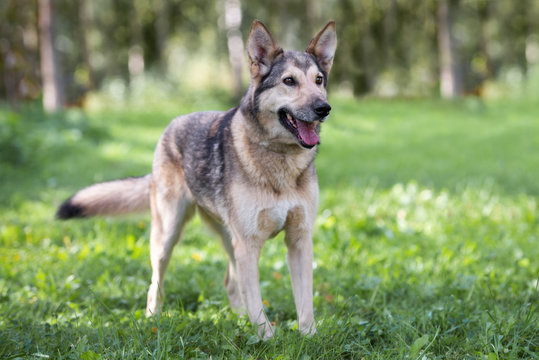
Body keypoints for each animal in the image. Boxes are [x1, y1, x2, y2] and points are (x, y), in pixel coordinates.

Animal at [58, 19, 338, 340]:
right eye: (289, 81)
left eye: (319, 80)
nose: (323, 108)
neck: (279, 156)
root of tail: (170, 126)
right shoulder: (249, 244)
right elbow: (257, 304)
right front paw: (268, 340)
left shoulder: (299, 240)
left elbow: (304, 302)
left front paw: (309, 337)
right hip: (168, 236)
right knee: (156, 284)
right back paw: (153, 319)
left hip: (228, 239)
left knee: (231, 282)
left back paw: (238, 320)